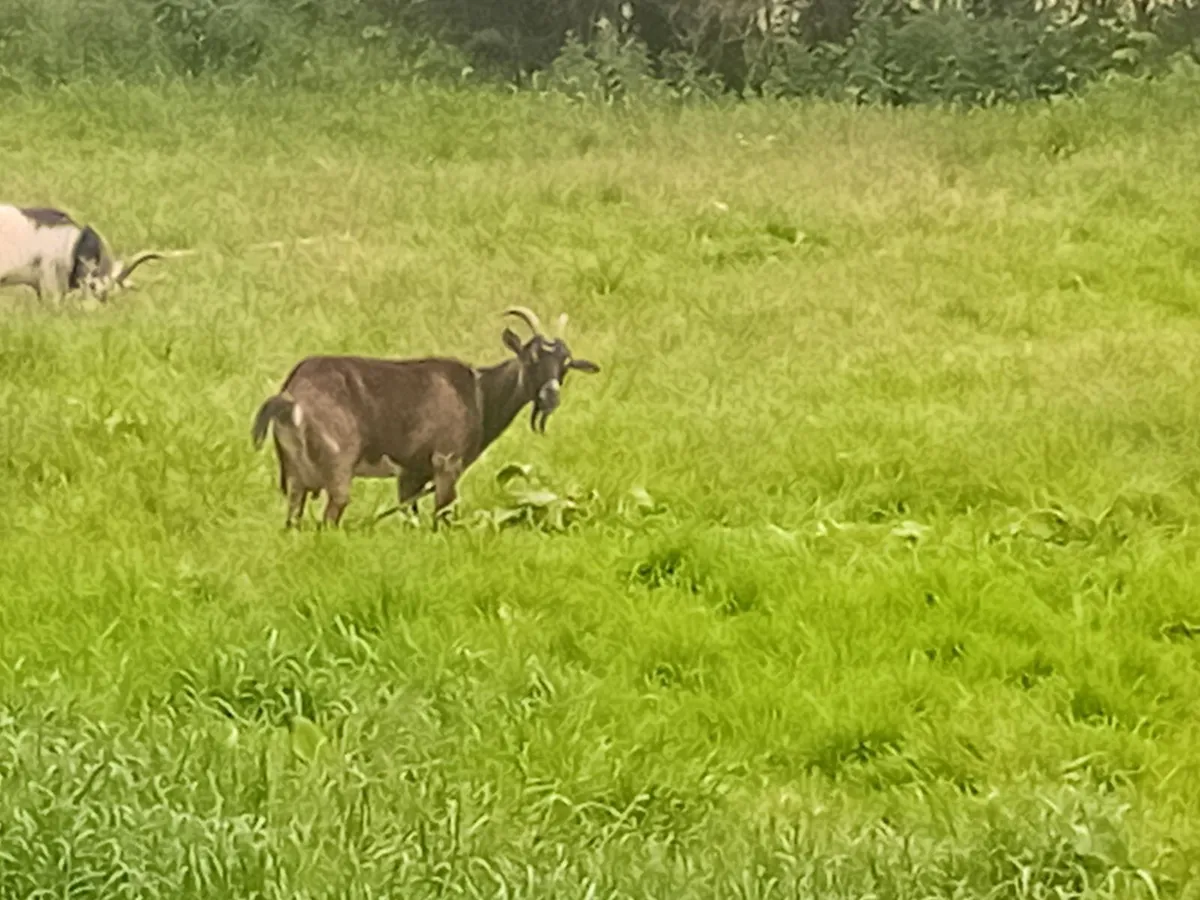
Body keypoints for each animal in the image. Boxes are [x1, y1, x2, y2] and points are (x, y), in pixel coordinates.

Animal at [250, 306, 601, 528]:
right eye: (531, 357)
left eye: (566, 363)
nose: (550, 396)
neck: (478, 392)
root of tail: (292, 395)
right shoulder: (446, 462)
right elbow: (441, 516)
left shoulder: (411, 473)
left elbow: (411, 517)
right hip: (337, 466)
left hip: (296, 476)